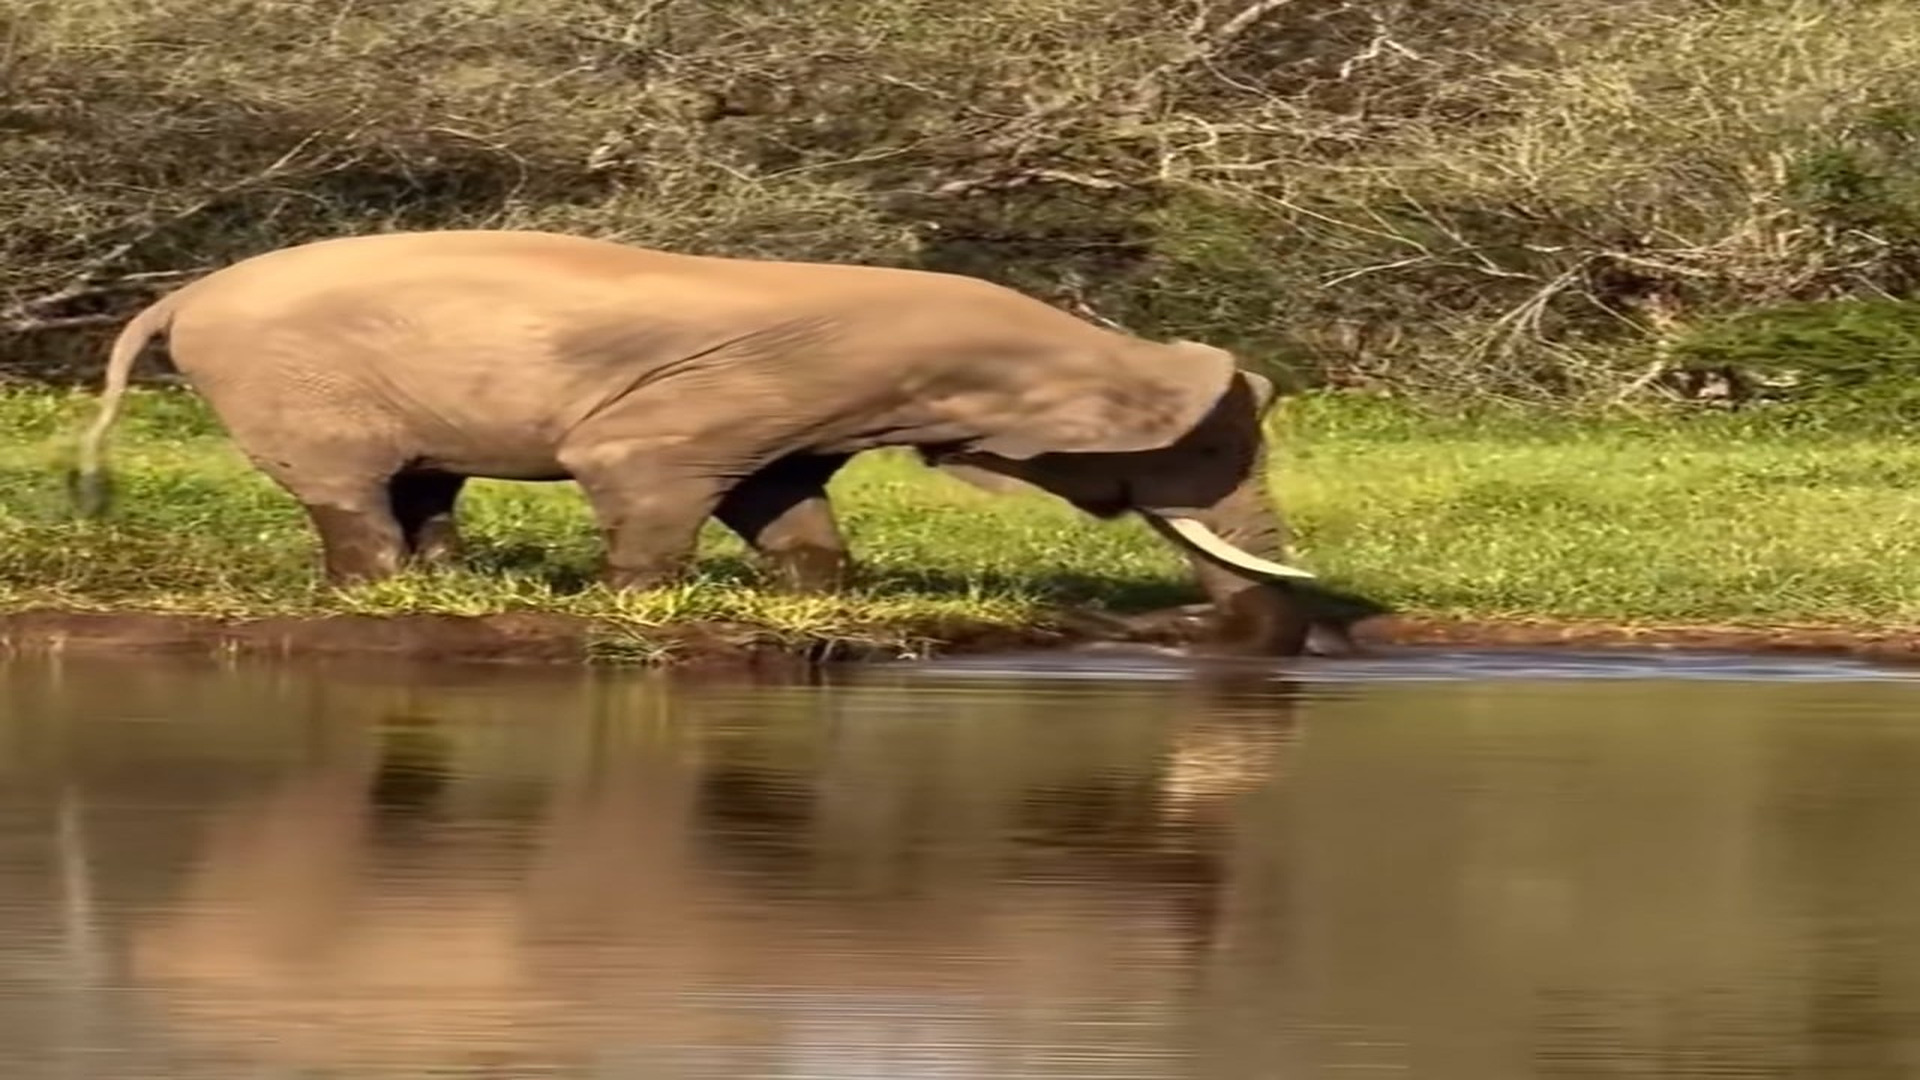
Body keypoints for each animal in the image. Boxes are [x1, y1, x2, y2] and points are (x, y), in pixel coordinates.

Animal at [72, 229, 1366, 655]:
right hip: (292, 388)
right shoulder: (729, 400)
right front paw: (637, 612)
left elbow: (786, 503)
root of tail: (179, 298)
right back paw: (376, 600)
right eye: (1196, 455)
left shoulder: (801, 415)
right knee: (353, 492)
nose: (1201, 636)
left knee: (422, 484)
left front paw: (819, 603)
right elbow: (637, 469)